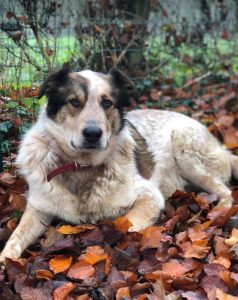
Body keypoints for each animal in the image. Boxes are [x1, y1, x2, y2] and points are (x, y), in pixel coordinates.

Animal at [0, 68, 238, 260]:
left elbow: (125, 226)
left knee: (226, 192)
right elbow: (15, 238)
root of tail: (222, 148)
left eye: (107, 103)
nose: (93, 134)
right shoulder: (38, 209)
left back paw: (218, 211)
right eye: (74, 101)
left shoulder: (149, 196)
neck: (81, 166)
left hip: (186, 148)